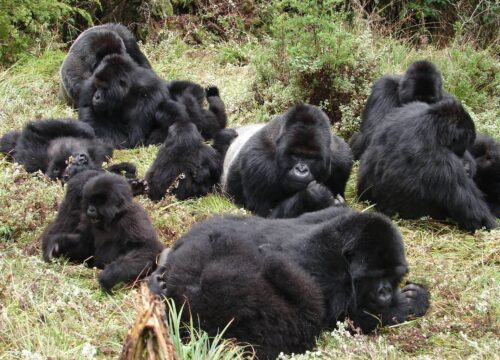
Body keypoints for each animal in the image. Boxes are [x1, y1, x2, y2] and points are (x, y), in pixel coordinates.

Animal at [149, 205, 430, 360]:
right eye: (375, 277)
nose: (385, 292)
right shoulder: (324, 272)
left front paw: (416, 297)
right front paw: (404, 306)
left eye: (393, 276)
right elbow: (322, 321)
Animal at [221, 102, 354, 218]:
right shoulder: (256, 164)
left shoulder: (341, 159)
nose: (301, 170)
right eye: (295, 155)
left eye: (310, 158)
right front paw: (315, 195)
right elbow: (265, 215)